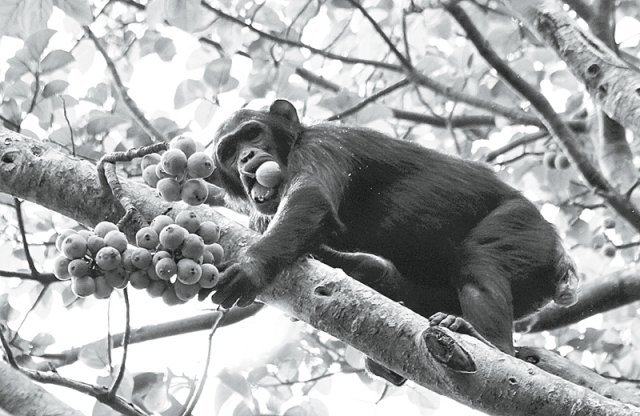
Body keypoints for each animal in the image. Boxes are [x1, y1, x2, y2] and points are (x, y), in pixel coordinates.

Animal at [210, 99, 580, 386]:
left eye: (252, 133)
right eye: (228, 151)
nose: (246, 157)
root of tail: (561, 262)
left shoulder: (323, 145)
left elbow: (310, 199)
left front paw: (250, 267)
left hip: (526, 229)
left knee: (481, 262)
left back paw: (488, 341)